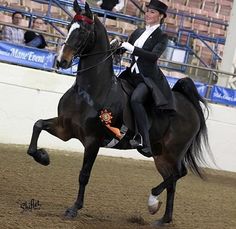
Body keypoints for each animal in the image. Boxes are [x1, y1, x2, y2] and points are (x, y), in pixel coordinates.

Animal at [27, 1, 210, 225]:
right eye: (69, 26)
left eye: (83, 31)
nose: (62, 61)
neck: (89, 90)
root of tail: (188, 103)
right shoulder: (65, 128)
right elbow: (37, 125)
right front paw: (43, 157)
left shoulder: (93, 140)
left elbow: (84, 174)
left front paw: (74, 208)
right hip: (161, 154)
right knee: (172, 180)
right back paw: (162, 217)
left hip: (174, 150)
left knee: (179, 173)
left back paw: (152, 199)